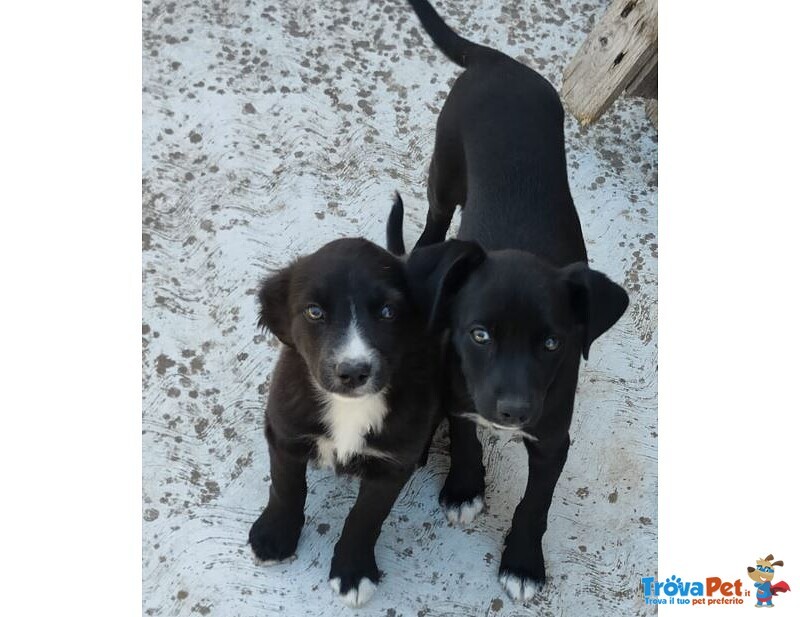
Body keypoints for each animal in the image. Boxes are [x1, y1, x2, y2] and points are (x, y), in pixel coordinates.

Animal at [248, 237, 440, 608]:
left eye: (388, 312)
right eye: (314, 312)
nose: (353, 372)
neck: (349, 408)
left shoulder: (392, 464)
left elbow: (365, 518)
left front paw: (354, 572)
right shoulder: (284, 432)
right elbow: (285, 487)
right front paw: (275, 535)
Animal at [388, 0, 632, 600]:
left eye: (552, 344)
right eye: (479, 335)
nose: (514, 411)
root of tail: (499, 62)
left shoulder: (553, 435)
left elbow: (536, 503)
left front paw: (522, 562)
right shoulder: (461, 391)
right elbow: (466, 438)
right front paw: (463, 488)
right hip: (445, 169)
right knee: (432, 226)